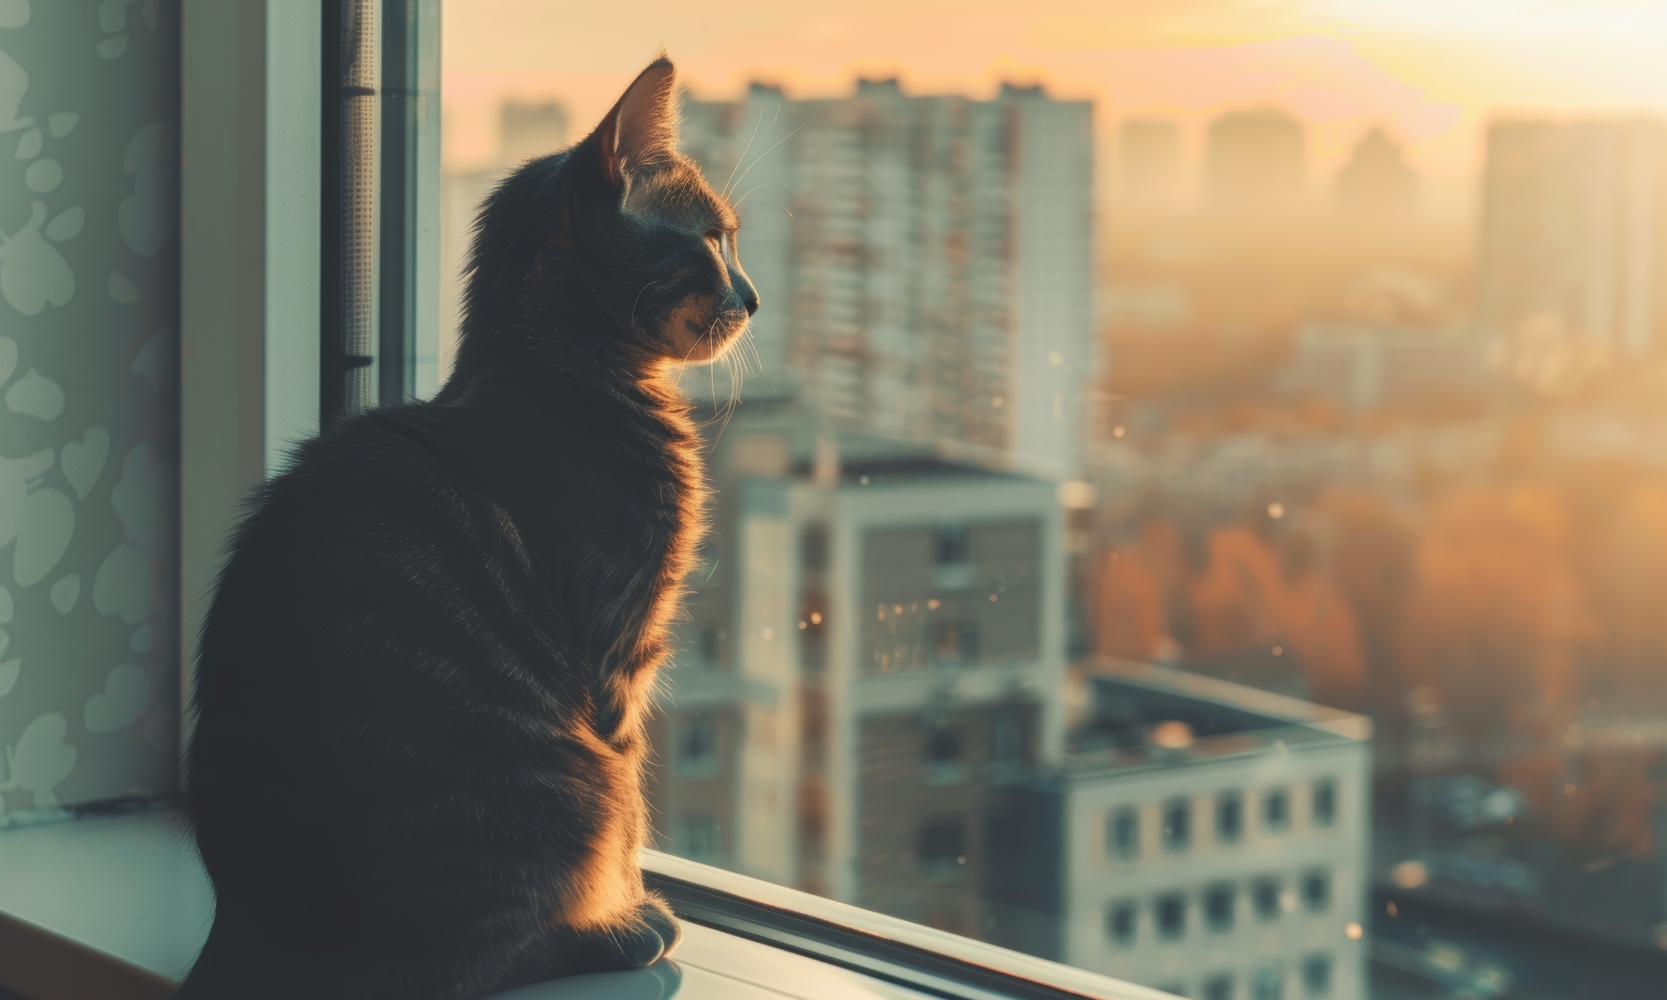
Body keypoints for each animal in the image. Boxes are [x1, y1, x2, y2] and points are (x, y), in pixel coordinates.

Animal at [174, 56, 756, 1000]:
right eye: (710, 239)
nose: (751, 295)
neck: (563, 368)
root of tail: (246, 923)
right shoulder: (619, 651)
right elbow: (633, 809)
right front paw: (628, 899)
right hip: (561, 781)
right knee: (470, 959)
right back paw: (612, 935)